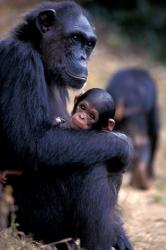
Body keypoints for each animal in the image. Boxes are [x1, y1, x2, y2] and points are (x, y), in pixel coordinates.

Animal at [0, 1, 133, 250]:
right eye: (75, 38)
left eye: (88, 44)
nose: (82, 57)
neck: (42, 58)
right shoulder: (20, 60)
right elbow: (34, 143)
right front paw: (124, 144)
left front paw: (121, 236)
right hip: (26, 220)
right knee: (93, 165)